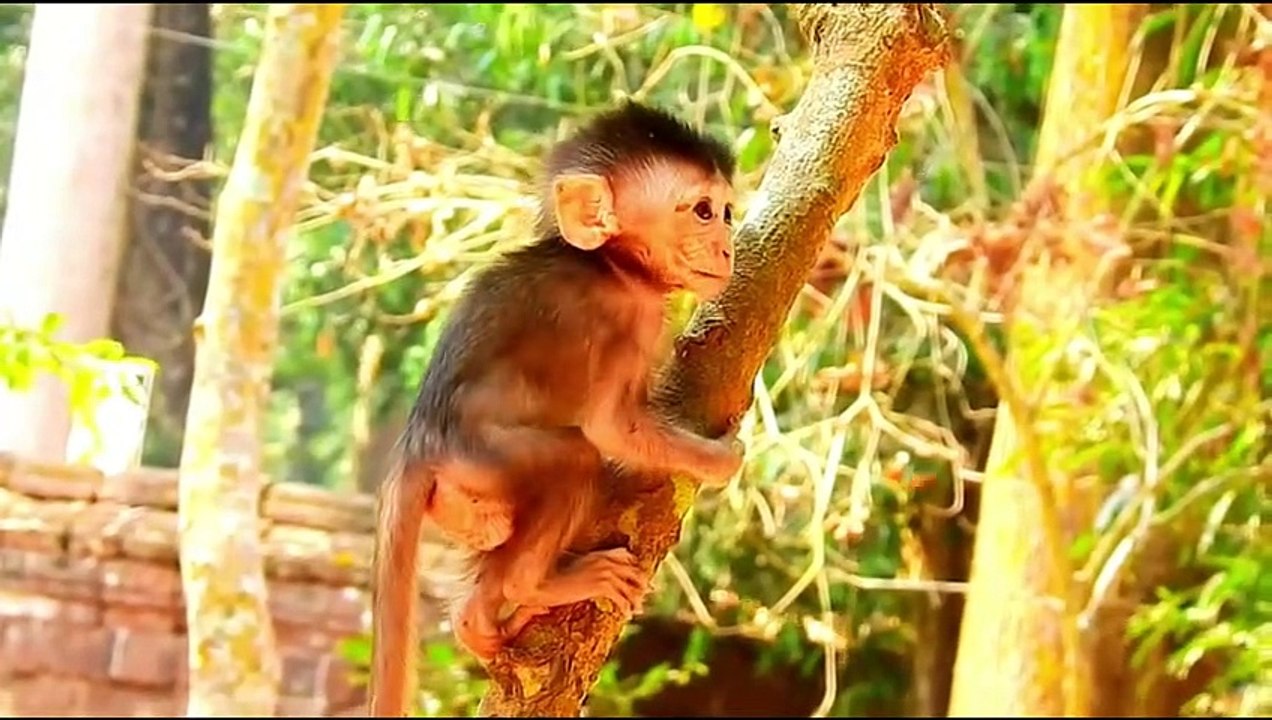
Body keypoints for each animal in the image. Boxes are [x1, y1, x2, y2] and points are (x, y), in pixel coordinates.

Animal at [368, 99, 743, 717]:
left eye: (728, 213)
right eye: (704, 211)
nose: (728, 247)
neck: (609, 264)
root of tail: (415, 442)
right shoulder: (627, 323)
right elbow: (611, 428)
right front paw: (718, 460)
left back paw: (475, 618)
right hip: (482, 460)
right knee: (573, 459)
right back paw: (532, 587)